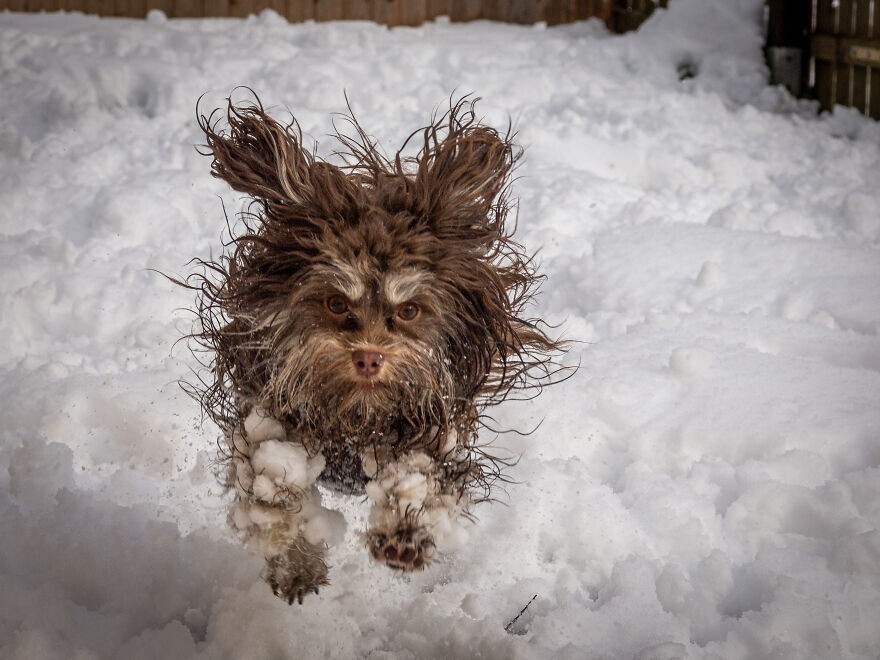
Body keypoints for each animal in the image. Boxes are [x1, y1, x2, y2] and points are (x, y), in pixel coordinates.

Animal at [186, 93, 564, 604]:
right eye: (334, 302)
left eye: (408, 311)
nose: (368, 357)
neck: (356, 416)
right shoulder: (266, 417)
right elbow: (274, 488)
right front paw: (295, 560)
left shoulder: (432, 429)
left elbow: (420, 480)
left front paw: (404, 536)